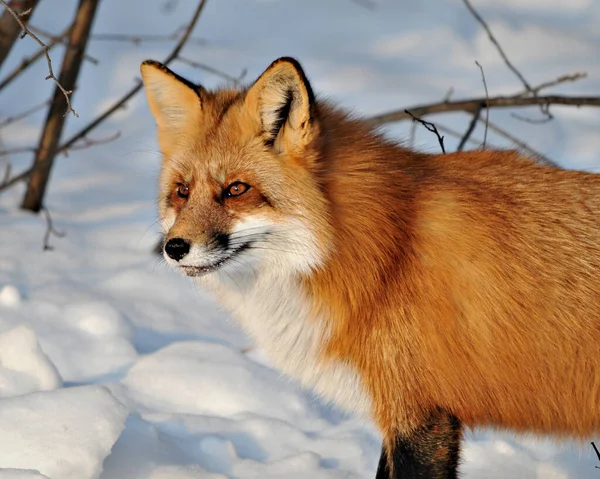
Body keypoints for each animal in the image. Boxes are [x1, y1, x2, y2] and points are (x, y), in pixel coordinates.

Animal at [141, 58, 600, 478]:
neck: (387, 248)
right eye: (182, 191)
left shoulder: (421, 414)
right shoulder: (398, 414)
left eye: (237, 189)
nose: (174, 247)